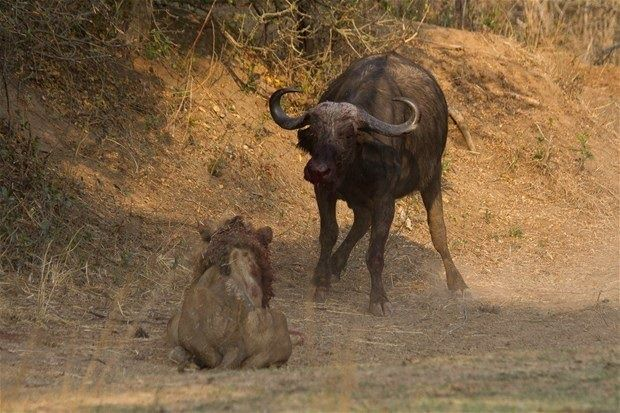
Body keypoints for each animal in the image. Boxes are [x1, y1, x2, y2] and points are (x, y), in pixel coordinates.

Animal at [268, 51, 468, 316]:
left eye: (347, 134)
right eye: (315, 134)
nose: (317, 170)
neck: (353, 168)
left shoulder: (385, 200)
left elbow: (375, 252)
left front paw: (378, 299)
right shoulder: (324, 191)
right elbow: (329, 234)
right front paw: (320, 282)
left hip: (432, 177)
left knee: (438, 230)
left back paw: (457, 281)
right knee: (362, 221)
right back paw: (334, 265)